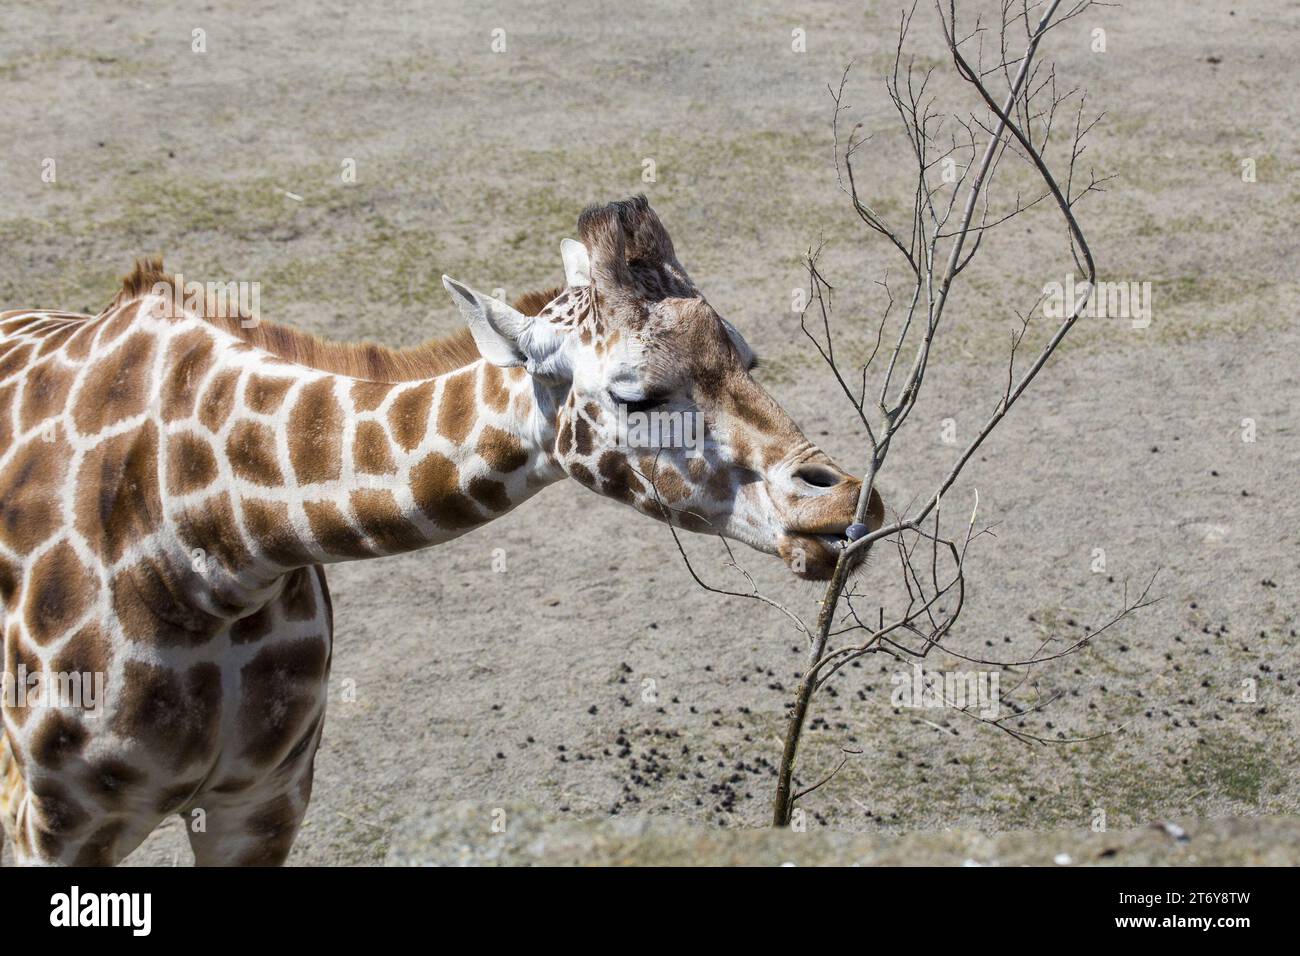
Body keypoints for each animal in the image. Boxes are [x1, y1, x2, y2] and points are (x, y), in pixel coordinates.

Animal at [0, 196, 883, 866]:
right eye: (636, 395)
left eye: (748, 356)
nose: (847, 506)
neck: (214, 541)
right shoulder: (55, 822)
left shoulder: (264, 801)